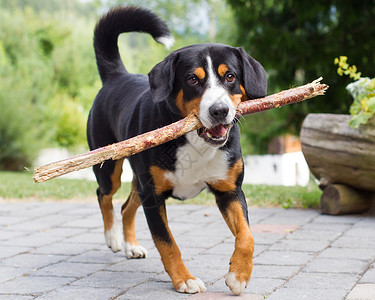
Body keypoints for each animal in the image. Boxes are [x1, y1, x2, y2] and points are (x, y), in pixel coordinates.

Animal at [88, 6, 268, 296]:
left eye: (230, 76)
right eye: (193, 79)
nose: (219, 110)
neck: (195, 143)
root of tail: (118, 76)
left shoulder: (229, 190)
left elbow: (247, 236)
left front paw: (238, 275)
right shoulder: (153, 195)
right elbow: (168, 243)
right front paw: (185, 279)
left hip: (140, 180)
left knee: (126, 206)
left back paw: (131, 246)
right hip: (110, 168)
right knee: (104, 195)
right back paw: (113, 237)